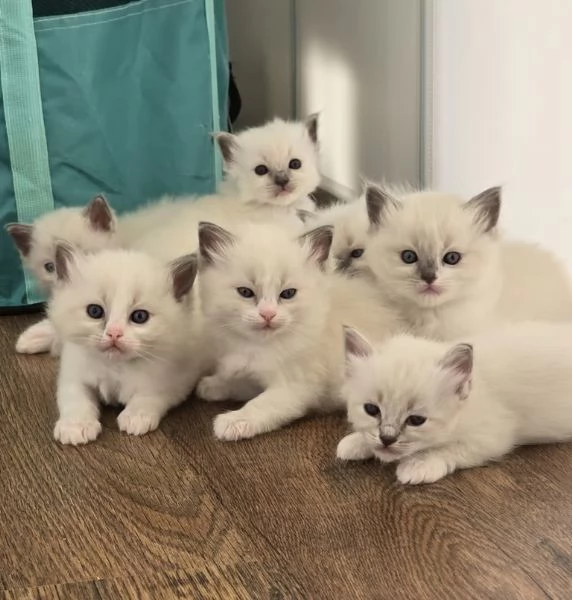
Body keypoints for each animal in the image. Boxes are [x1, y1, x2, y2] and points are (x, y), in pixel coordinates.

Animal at [48, 244, 203, 446]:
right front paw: (76, 425)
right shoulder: (72, 374)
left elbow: (150, 394)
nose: (114, 333)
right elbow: (74, 398)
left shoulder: (178, 378)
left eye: (140, 316)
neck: (115, 366)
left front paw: (136, 416)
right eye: (94, 311)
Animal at [194, 219, 400, 440]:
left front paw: (232, 421)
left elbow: (261, 404)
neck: (260, 346)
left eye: (288, 294)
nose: (268, 315)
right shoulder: (252, 372)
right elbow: (239, 384)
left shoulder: (296, 386)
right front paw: (211, 385)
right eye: (245, 292)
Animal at [336, 322, 572, 486]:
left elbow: (447, 449)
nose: (387, 439)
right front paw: (356, 442)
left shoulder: (495, 435)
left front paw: (418, 465)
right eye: (371, 410)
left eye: (416, 420)